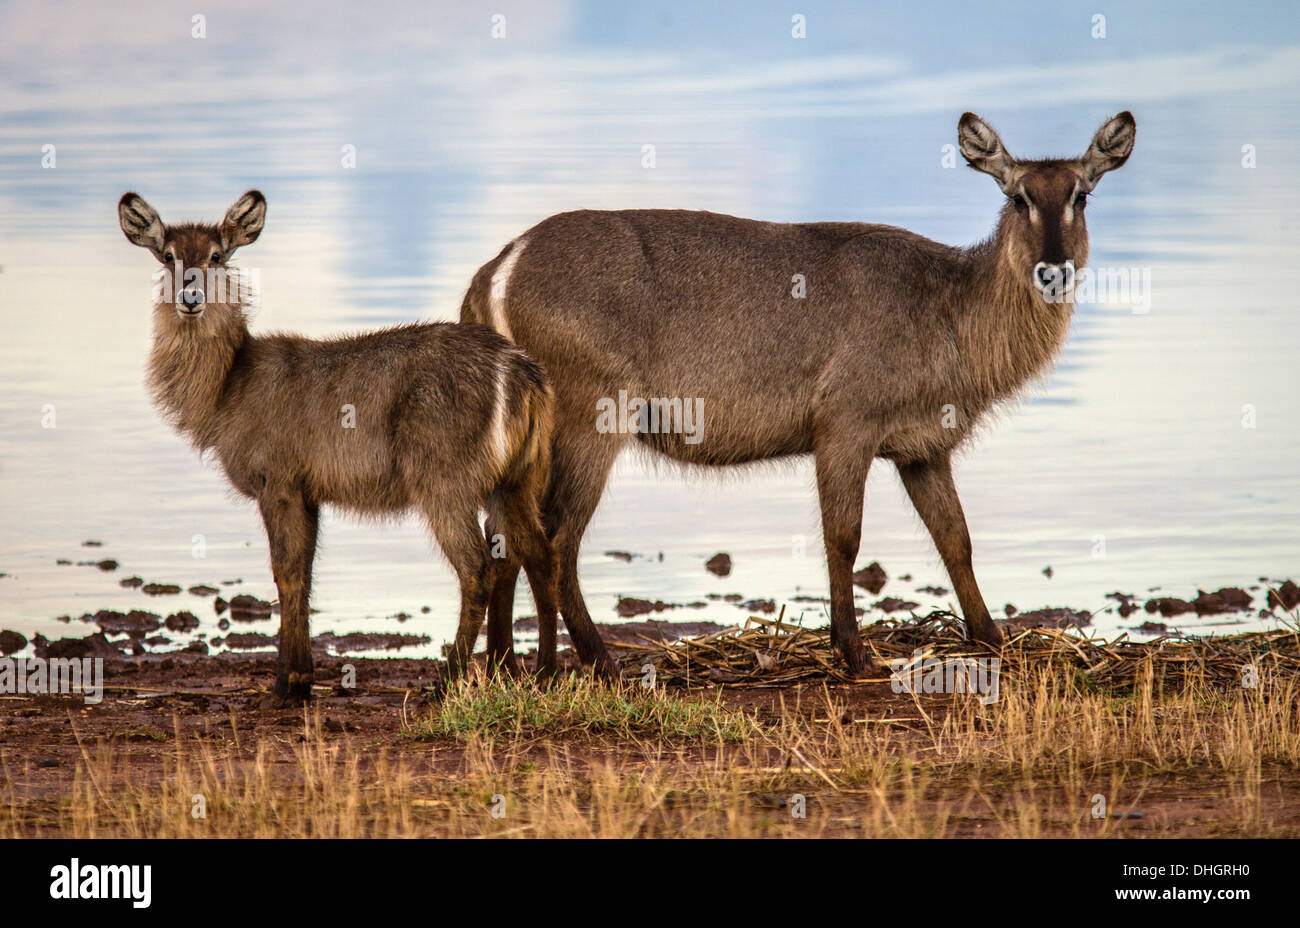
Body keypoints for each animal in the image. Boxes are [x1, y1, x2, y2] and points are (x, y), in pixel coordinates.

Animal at [119, 193, 572, 701]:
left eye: (216, 256)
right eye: (168, 256)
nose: (190, 296)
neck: (226, 388)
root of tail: (521, 373)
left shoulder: (277, 481)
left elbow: (286, 573)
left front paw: (286, 683)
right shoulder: (308, 490)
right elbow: (304, 576)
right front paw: (301, 676)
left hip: (444, 481)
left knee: (478, 569)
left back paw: (446, 681)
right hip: (517, 477)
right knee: (542, 553)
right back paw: (546, 673)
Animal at [462, 110, 1133, 670]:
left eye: (1080, 194)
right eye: (1019, 197)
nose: (1053, 269)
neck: (948, 308)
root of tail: (497, 268)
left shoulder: (923, 449)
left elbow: (956, 539)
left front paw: (991, 638)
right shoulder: (845, 425)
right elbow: (844, 537)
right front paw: (855, 654)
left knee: (503, 539)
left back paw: (505, 666)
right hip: (592, 418)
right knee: (554, 539)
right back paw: (595, 661)